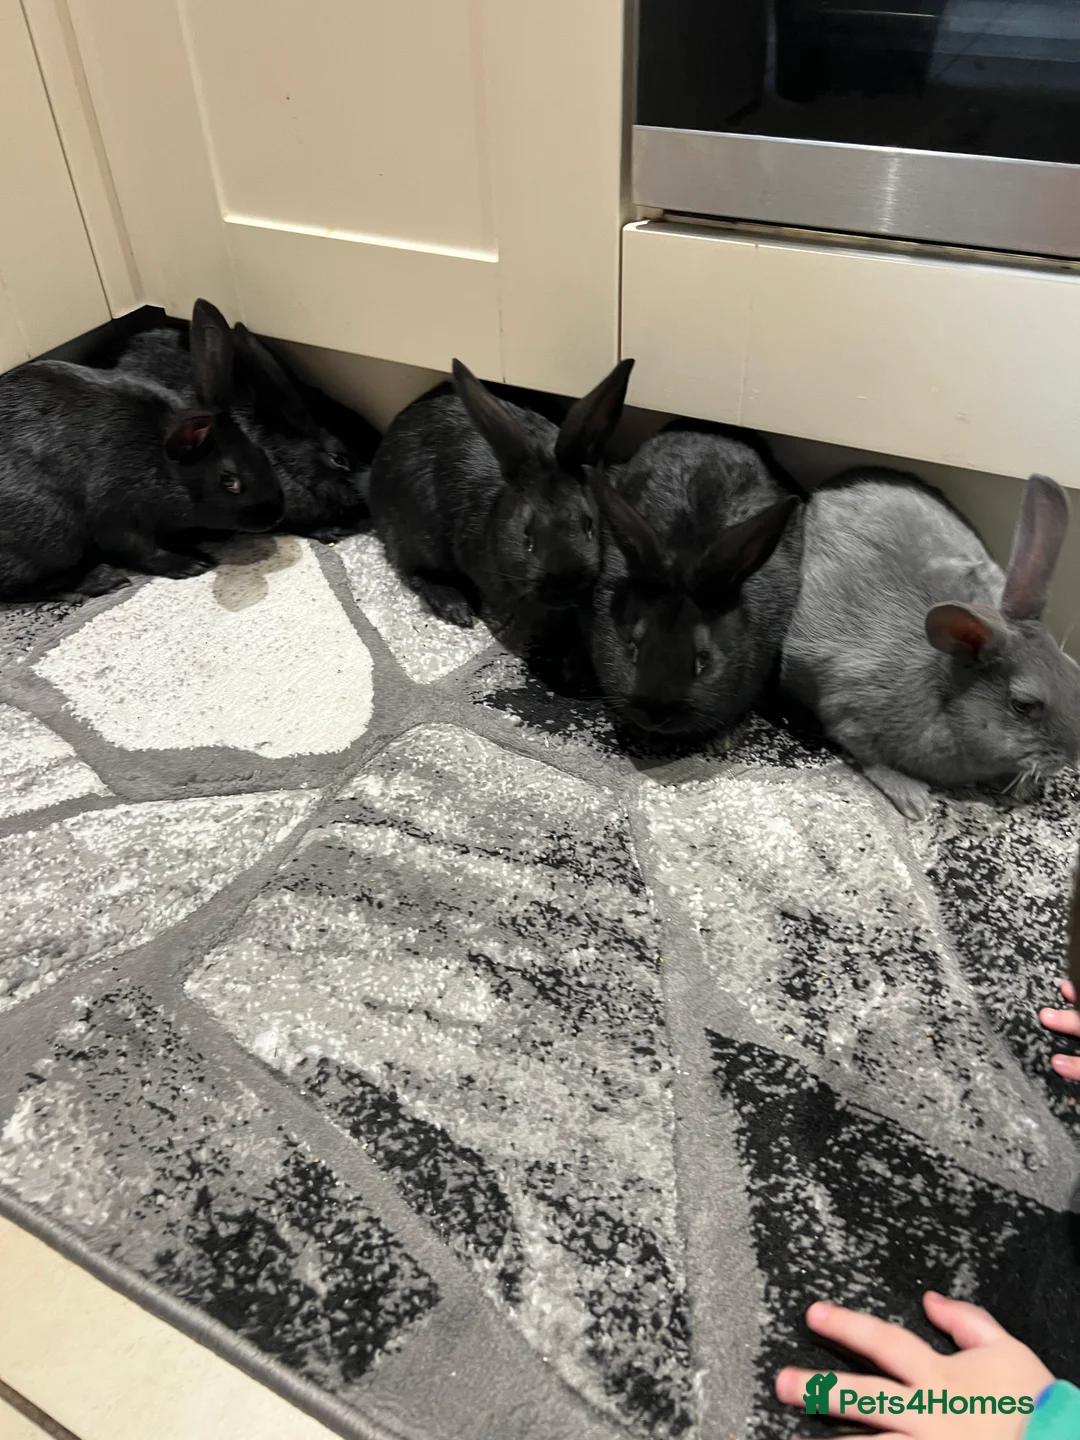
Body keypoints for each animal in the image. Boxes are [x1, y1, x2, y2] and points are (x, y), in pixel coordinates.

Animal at [0, 299, 284, 598]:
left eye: (260, 451)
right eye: (229, 481)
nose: (275, 515)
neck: (163, 463)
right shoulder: (116, 514)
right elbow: (142, 550)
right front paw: (190, 565)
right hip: (54, 535)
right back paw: (102, 580)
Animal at [367, 356, 635, 628]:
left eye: (589, 525)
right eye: (527, 535)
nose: (564, 589)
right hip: (419, 537)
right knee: (414, 571)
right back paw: (457, 608)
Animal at [780, 468, 1080, 820]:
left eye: (1075, 672)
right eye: (1022, 705)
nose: (1073, 757)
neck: (942, 694)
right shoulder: (848, 712)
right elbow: (870, 757)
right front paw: (914, 800)